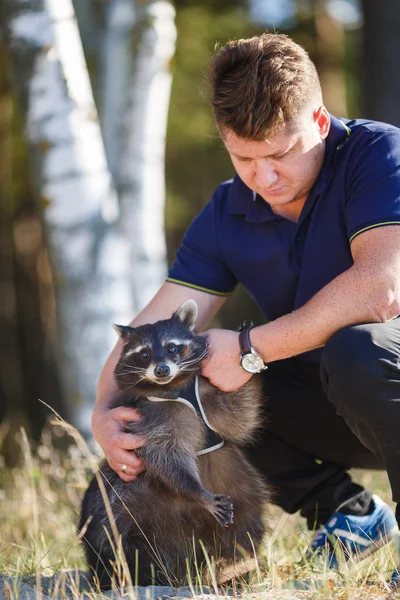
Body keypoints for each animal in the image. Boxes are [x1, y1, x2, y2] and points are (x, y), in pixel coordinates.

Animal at [79, 300, 268, 584]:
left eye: (172, 348)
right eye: (144, 353)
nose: (162, 370)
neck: (173, 387)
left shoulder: (208, 396)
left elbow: (240, 413)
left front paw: (249, 368)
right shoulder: (149, 419)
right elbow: (165, 457)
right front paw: (196, 491)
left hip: (243, 493)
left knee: (243, 530)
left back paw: (235, 569)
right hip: (132, 509)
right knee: (125, 541)